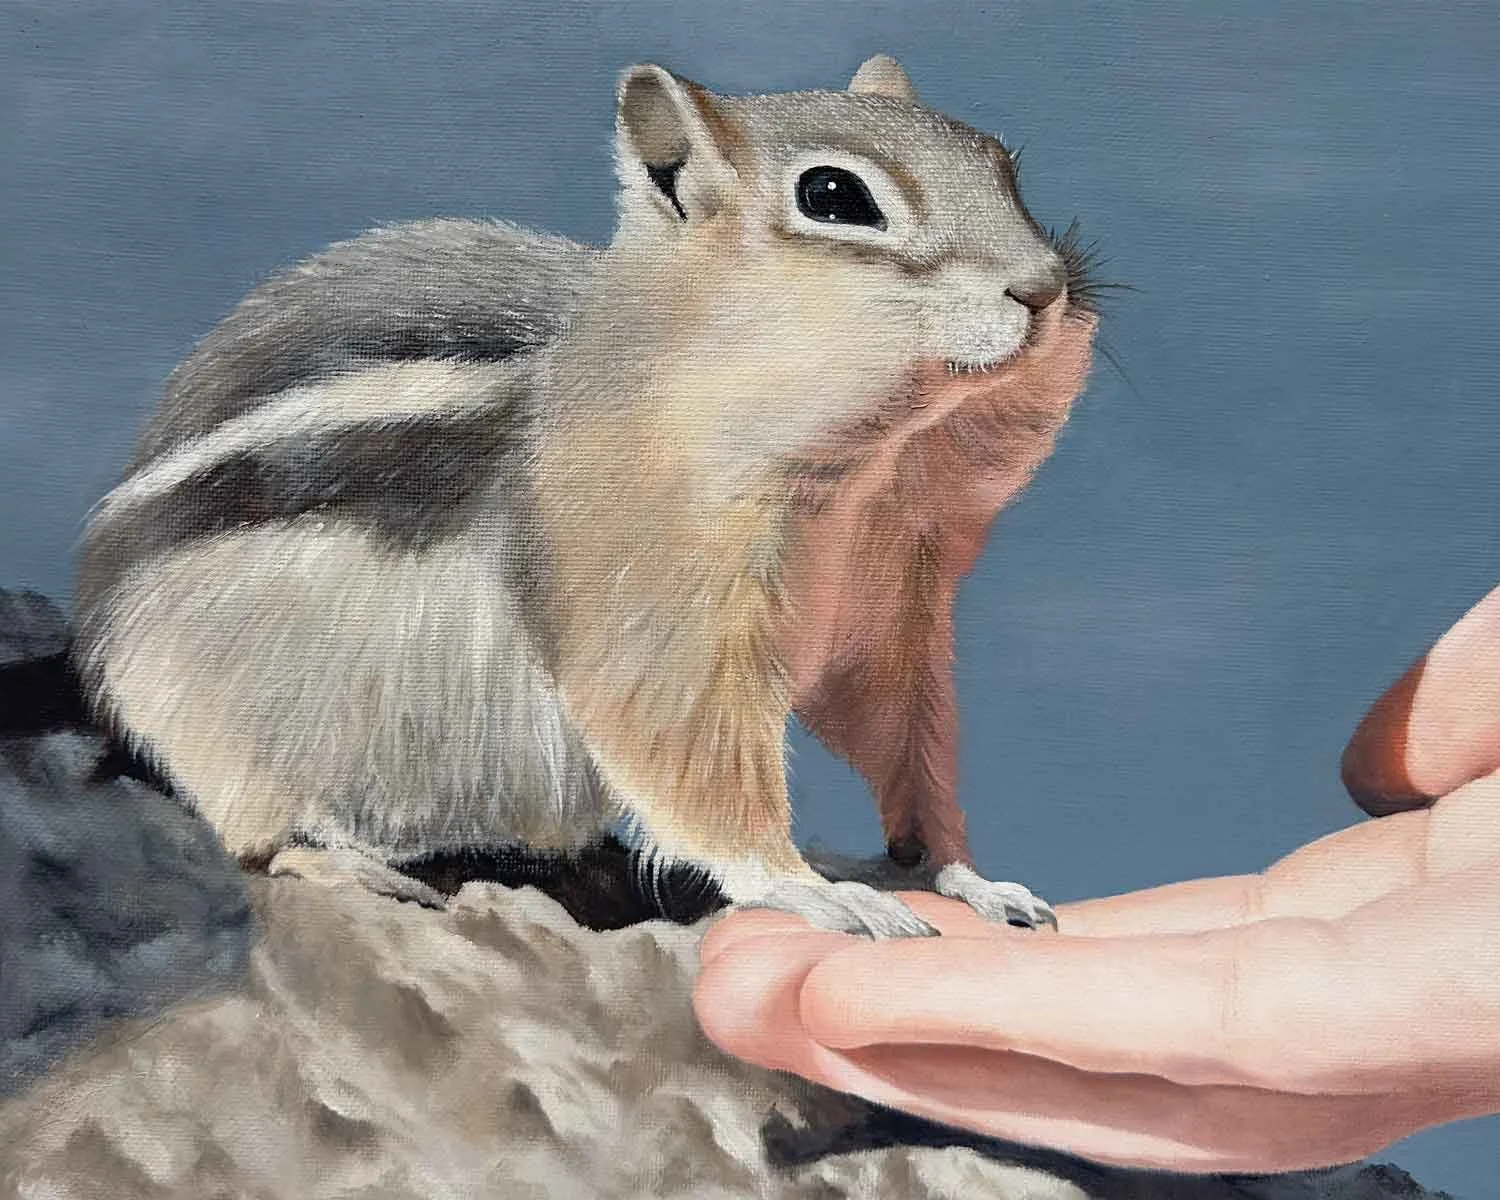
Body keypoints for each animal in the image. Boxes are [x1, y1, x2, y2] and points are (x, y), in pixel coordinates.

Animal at [72, 55, 1097, 938]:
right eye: (833, 197)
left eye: (999, 161)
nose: (1044, 287)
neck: (860, 477)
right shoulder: (652, 602)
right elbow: (686, 755)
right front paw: (805, 888)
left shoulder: (888, 612)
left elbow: (901, 744)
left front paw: (959, 875)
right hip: (222, 726)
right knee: (255, 834)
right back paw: (342, 857)